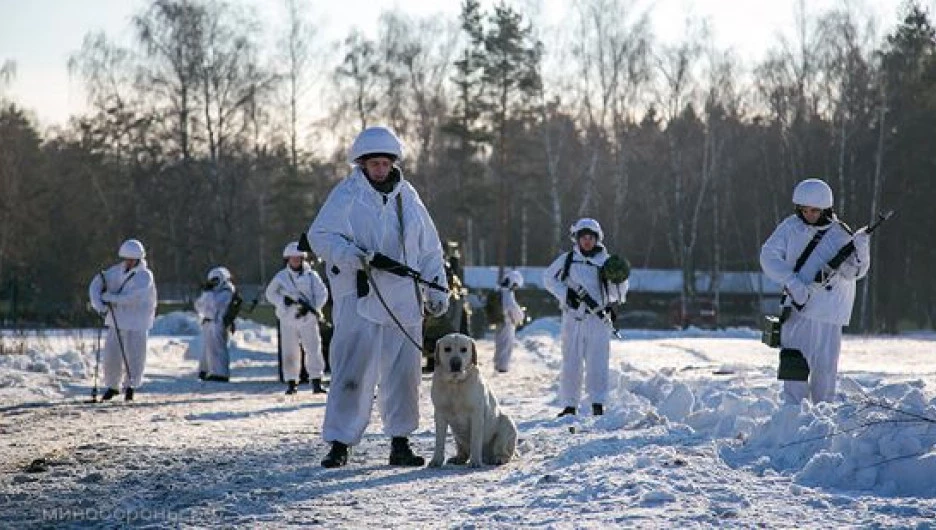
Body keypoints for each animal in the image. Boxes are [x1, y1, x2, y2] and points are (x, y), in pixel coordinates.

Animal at [428, 332, 516, 464]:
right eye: (447, 349)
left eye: (464, 349)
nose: (456, 363)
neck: (456, 384)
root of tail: (487, 456)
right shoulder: (439, 414)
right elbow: (439, 441)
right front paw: (436, 461)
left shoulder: (476, 415)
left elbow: (475, 440)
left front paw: (474, 462)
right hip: (458, 436)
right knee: (463, 449)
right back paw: (458, 458)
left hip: (506, 423)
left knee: (503, 449)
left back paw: (499, 458)